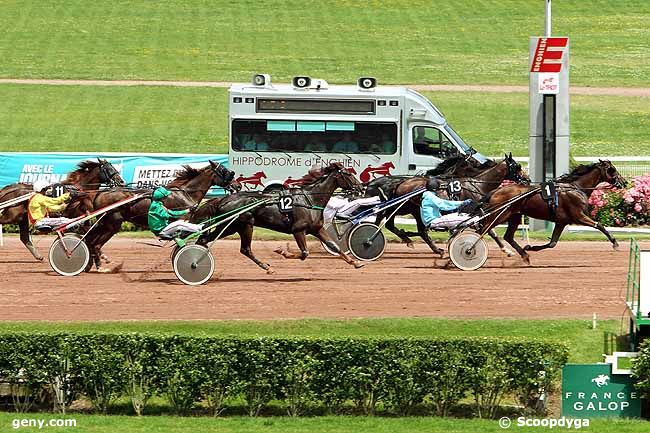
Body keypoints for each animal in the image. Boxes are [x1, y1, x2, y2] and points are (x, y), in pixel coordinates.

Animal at [80, 161, 233, 270]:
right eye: (223, 170)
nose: (235, 184)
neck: (185, 193)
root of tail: (100, 193)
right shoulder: (181, 222)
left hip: (104, 223)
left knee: (90, 240)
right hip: (112, 224)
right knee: (95, 244)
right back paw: (100, 265)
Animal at [191, 164, 364, 272]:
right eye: (349, 174)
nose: (361, 188)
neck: (310, 199)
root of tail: (223, 199)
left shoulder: (317, 228)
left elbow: (334, 246)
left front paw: (355, 262)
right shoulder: (298, 230)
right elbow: (304, 253)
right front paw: (283, 251)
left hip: (233, 227)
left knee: (209, 241)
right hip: (241, 225)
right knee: (243, 248)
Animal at [362, 154, 524, 255]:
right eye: (517, 166)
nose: (526, 179)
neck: (479, 184)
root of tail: (399, 184)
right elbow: (490, 231)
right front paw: (506, 250)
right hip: (407, 209)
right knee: (411, 229)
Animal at [478, 159, 624, 264]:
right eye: (613, 170)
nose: (624, 182)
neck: (575, 187)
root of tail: (495, 191)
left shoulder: (561, 222)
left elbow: (552, 243)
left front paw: (530, 247)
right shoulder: (578, 216)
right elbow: (599, 225)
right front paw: (615, 243)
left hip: (515, 216)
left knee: (507, 236)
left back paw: (525, 256)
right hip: (501, 214)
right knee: (484, 230)